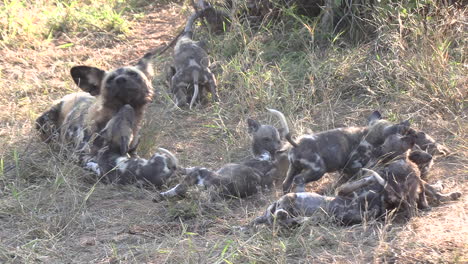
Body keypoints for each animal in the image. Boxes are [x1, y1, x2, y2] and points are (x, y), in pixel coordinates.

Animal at [266, 108, 412, 193]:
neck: (370, 135)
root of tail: (297, 144)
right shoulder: (353, 165)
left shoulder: (344, 169)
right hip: (318, 170)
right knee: (299, 180)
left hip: (294, 168)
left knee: (286, 184)